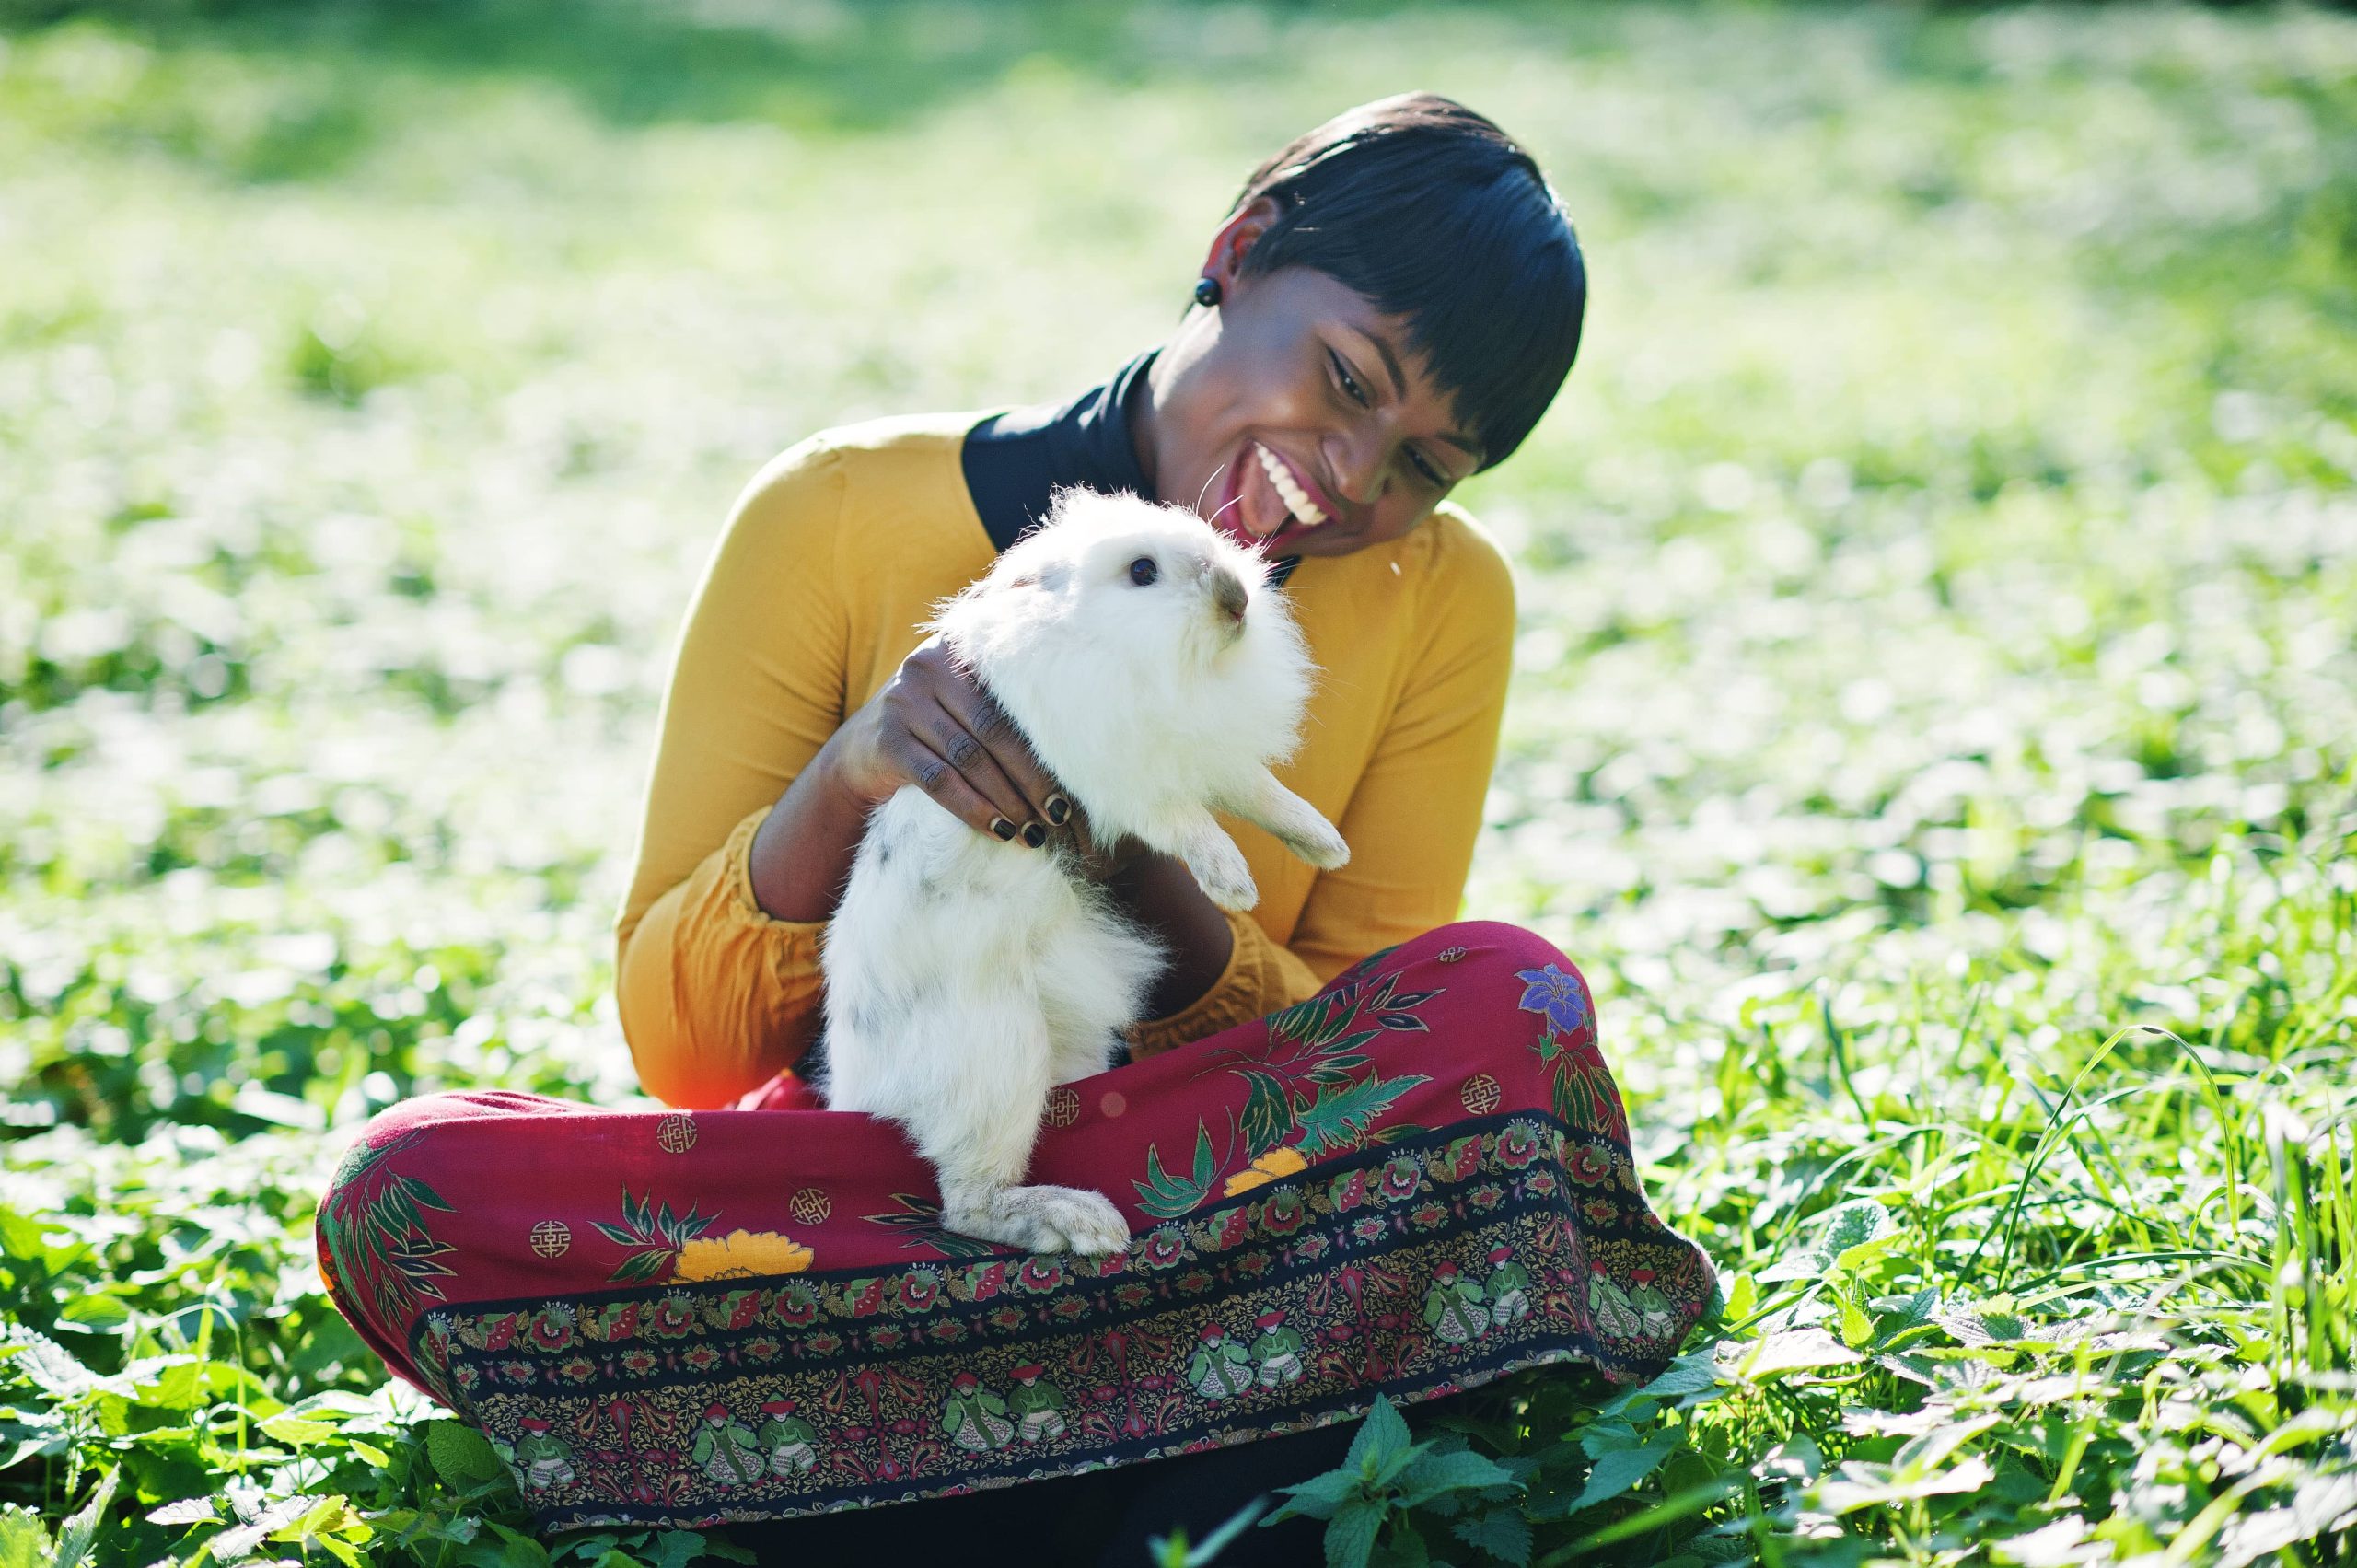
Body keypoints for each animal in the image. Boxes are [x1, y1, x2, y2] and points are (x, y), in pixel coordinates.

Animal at [825, 482, 1348, 1254]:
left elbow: (1261, 794)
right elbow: (1186, 821)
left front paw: (1324, 843)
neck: (1111, 648)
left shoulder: (1203, 755)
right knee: (967, 1204)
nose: (1234, 601)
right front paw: (1233, 881)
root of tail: (861, 1091)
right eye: (1141, 572)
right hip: (997, 1056)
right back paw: (1083, 1222)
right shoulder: (1124, 776)